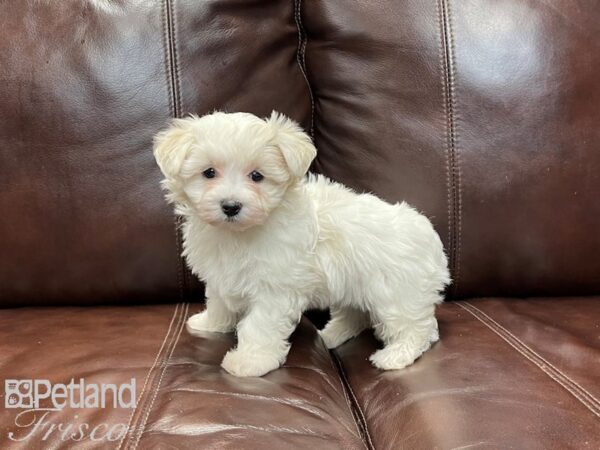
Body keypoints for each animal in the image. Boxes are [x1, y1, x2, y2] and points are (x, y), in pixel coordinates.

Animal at [155, 111, 450, 376]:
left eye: (257, 176)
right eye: (209, 173)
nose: (230, 206)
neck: (238, 233)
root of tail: (429, 233)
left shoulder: (274, 290)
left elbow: (259, 326)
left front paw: (250, 362)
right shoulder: (221, 274)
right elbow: (218, 300)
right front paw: (210, 323)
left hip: (398, 292)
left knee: (416, 328)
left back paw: (395, 356)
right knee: (356, 315)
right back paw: (330, 335)